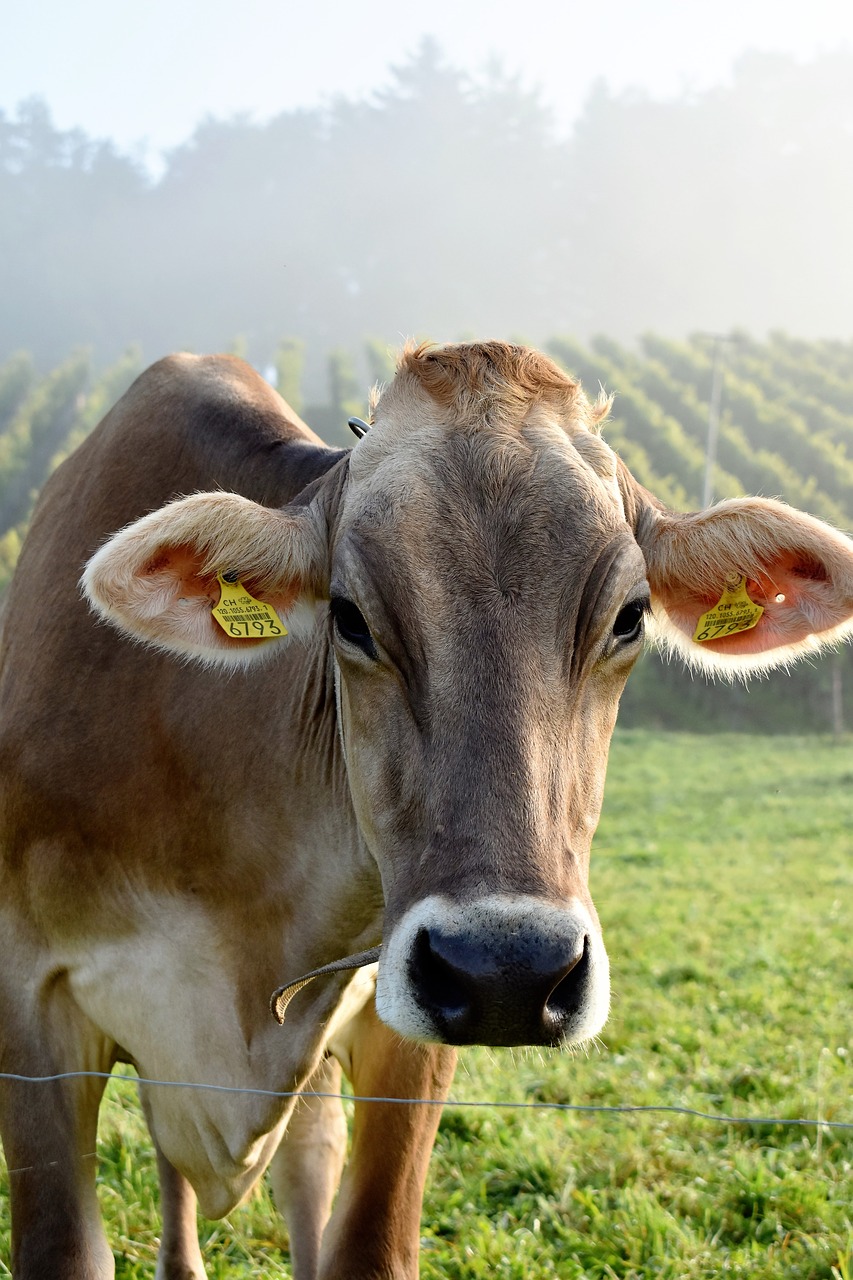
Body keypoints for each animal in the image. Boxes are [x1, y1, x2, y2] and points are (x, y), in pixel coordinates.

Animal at [4, 343, 850, 1280]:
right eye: (348, 616)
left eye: (629, 618)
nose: (509, 971)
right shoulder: (29, 1004)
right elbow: (66, 1247)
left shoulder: (396, 1017)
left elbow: (365, 1241)